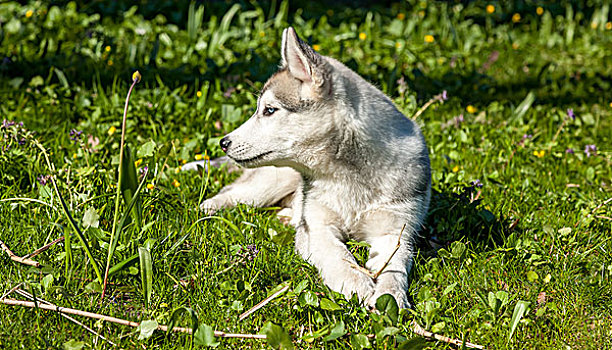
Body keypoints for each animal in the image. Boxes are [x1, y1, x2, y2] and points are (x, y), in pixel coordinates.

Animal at [186, 28, 430, 308]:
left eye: (269, 110)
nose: (224, 142)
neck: (349, 176)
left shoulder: (396, 230)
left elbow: (395, 266)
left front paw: (391, 296)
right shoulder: (317, 226)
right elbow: (336, 253)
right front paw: (355, 283)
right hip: (267, 185)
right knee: (229, 195)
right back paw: (208, 208)